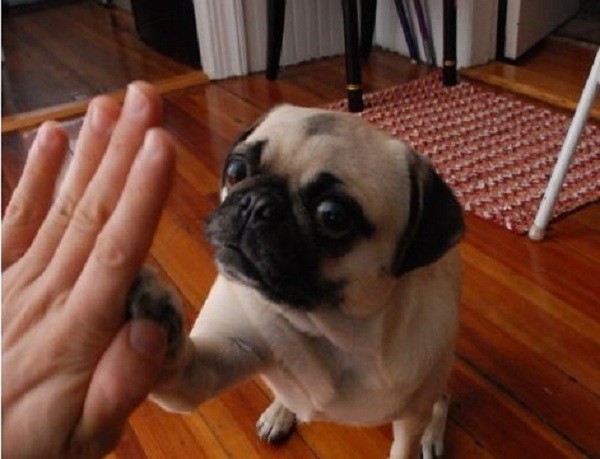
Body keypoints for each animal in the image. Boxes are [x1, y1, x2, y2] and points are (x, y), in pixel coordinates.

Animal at [130, 104, 464, 459]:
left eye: (332, 216)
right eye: (236, 170)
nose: (255, 204)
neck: (325, 329)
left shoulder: (411, 417)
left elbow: (404, 447)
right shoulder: (207, 367)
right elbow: (180, 365)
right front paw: (152, 314)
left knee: (442, 400)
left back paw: (432, 435)